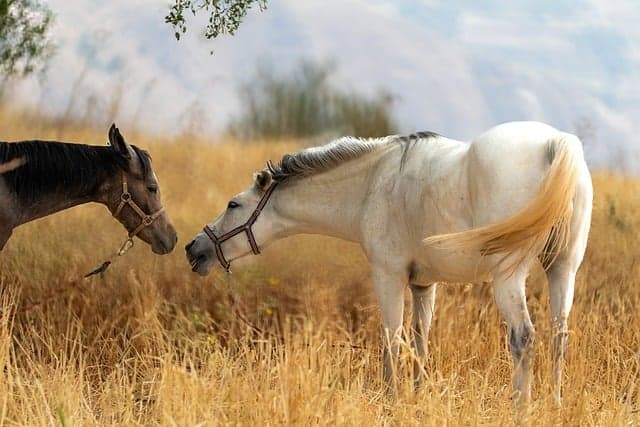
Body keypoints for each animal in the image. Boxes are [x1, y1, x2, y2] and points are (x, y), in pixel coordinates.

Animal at [185, 121, 592, 405]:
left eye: (233, 204)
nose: (193, 249)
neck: (373, 183)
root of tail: (556, 143)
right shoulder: (424, 284)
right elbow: (420, 339)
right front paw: (417, 394)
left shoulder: (388, 275)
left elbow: (391, 338)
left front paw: (390, 398)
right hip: (562, 270)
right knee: (559, 336)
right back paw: (554, 403)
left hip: (508, 275)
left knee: (523, 337)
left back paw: (521, 406)